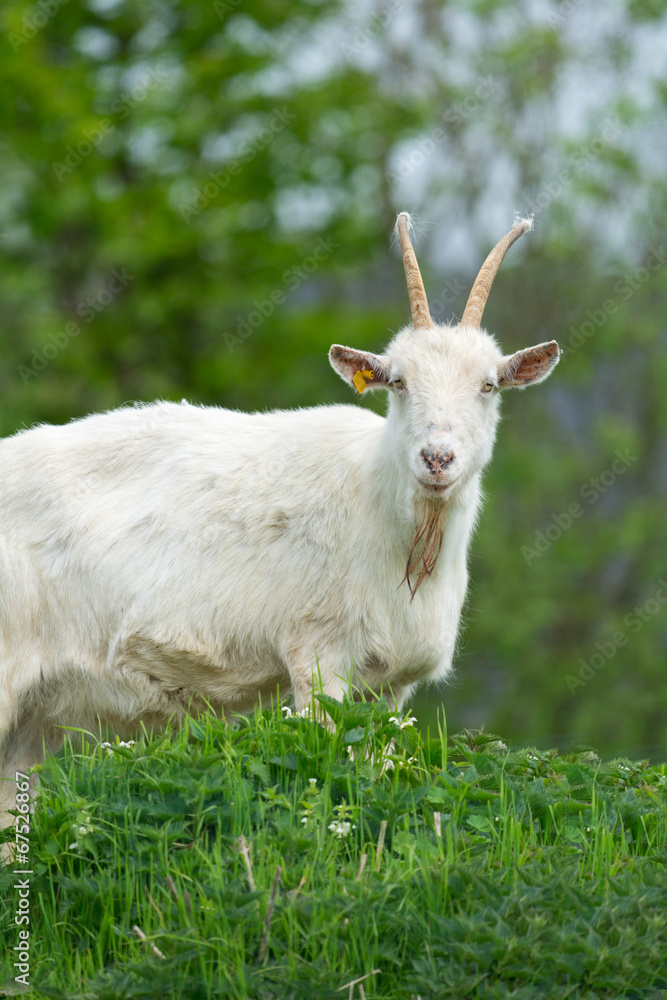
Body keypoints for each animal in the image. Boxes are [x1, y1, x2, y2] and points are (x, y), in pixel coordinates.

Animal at [0, 213, 560, 831]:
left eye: (488, 385)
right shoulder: (317, 652)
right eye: (398, 382)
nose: (437, 458)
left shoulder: (391, 686)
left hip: (34, 716)